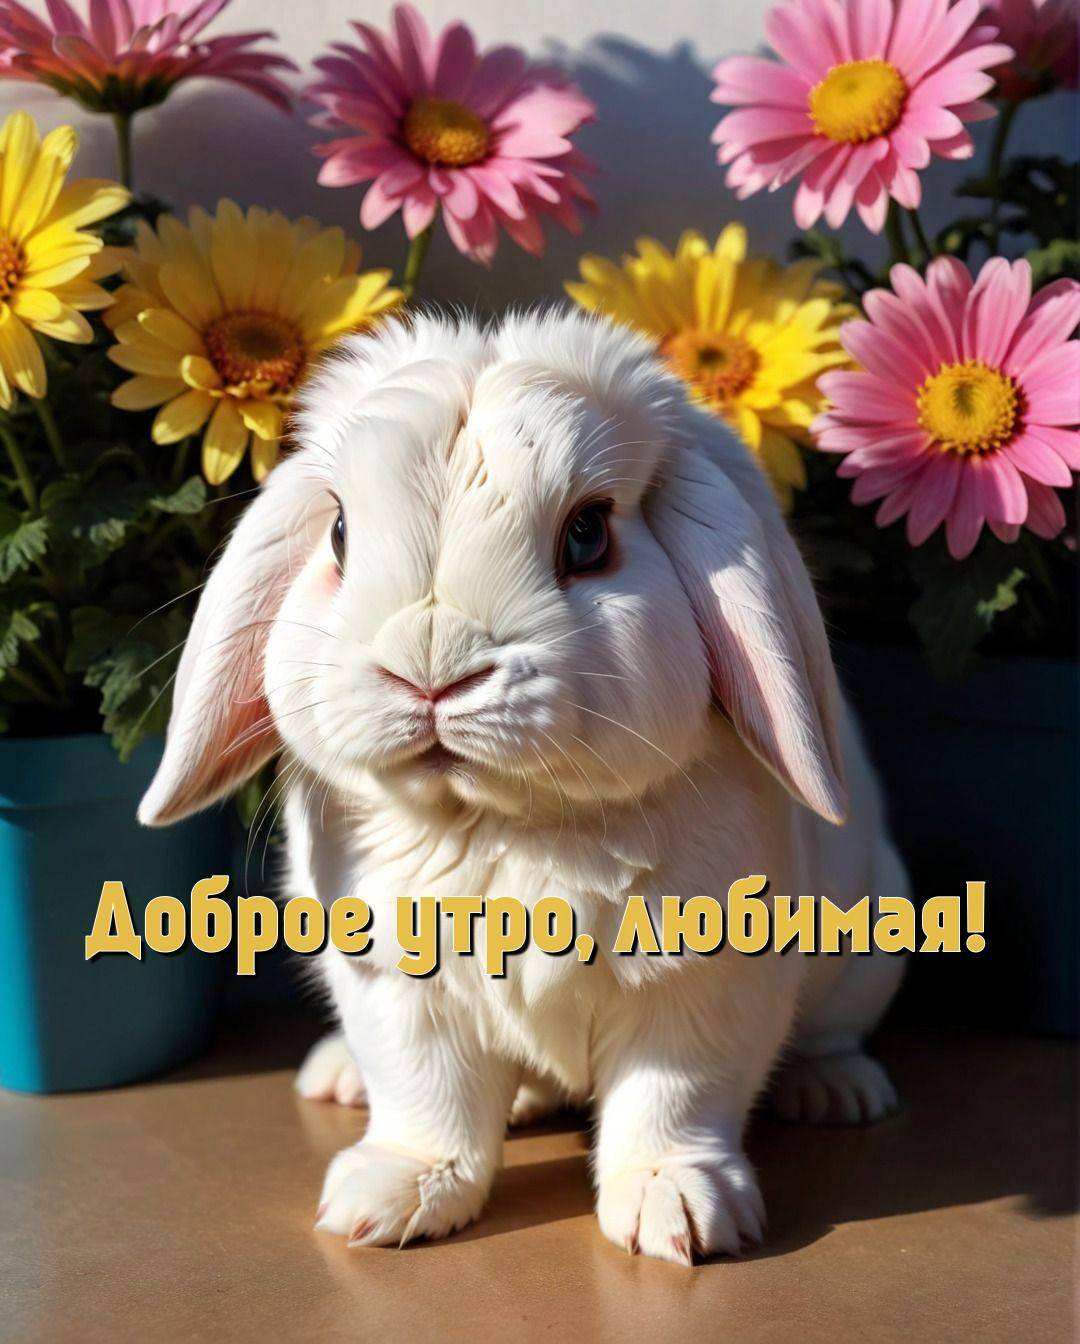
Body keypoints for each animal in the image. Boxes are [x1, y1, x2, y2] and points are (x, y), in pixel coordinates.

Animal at [139, 309, 907, 1265]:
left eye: (588, 534)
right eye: (340, 533)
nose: (430, 669)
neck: (506, 826)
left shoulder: (704, 988)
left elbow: (674, 1100)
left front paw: (680, 1215)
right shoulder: (398, 989)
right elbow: (427, 1097)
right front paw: (389, 1200)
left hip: (869, 950)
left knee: (828, 1034)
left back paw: (839, 1092)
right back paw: (345, 1079)